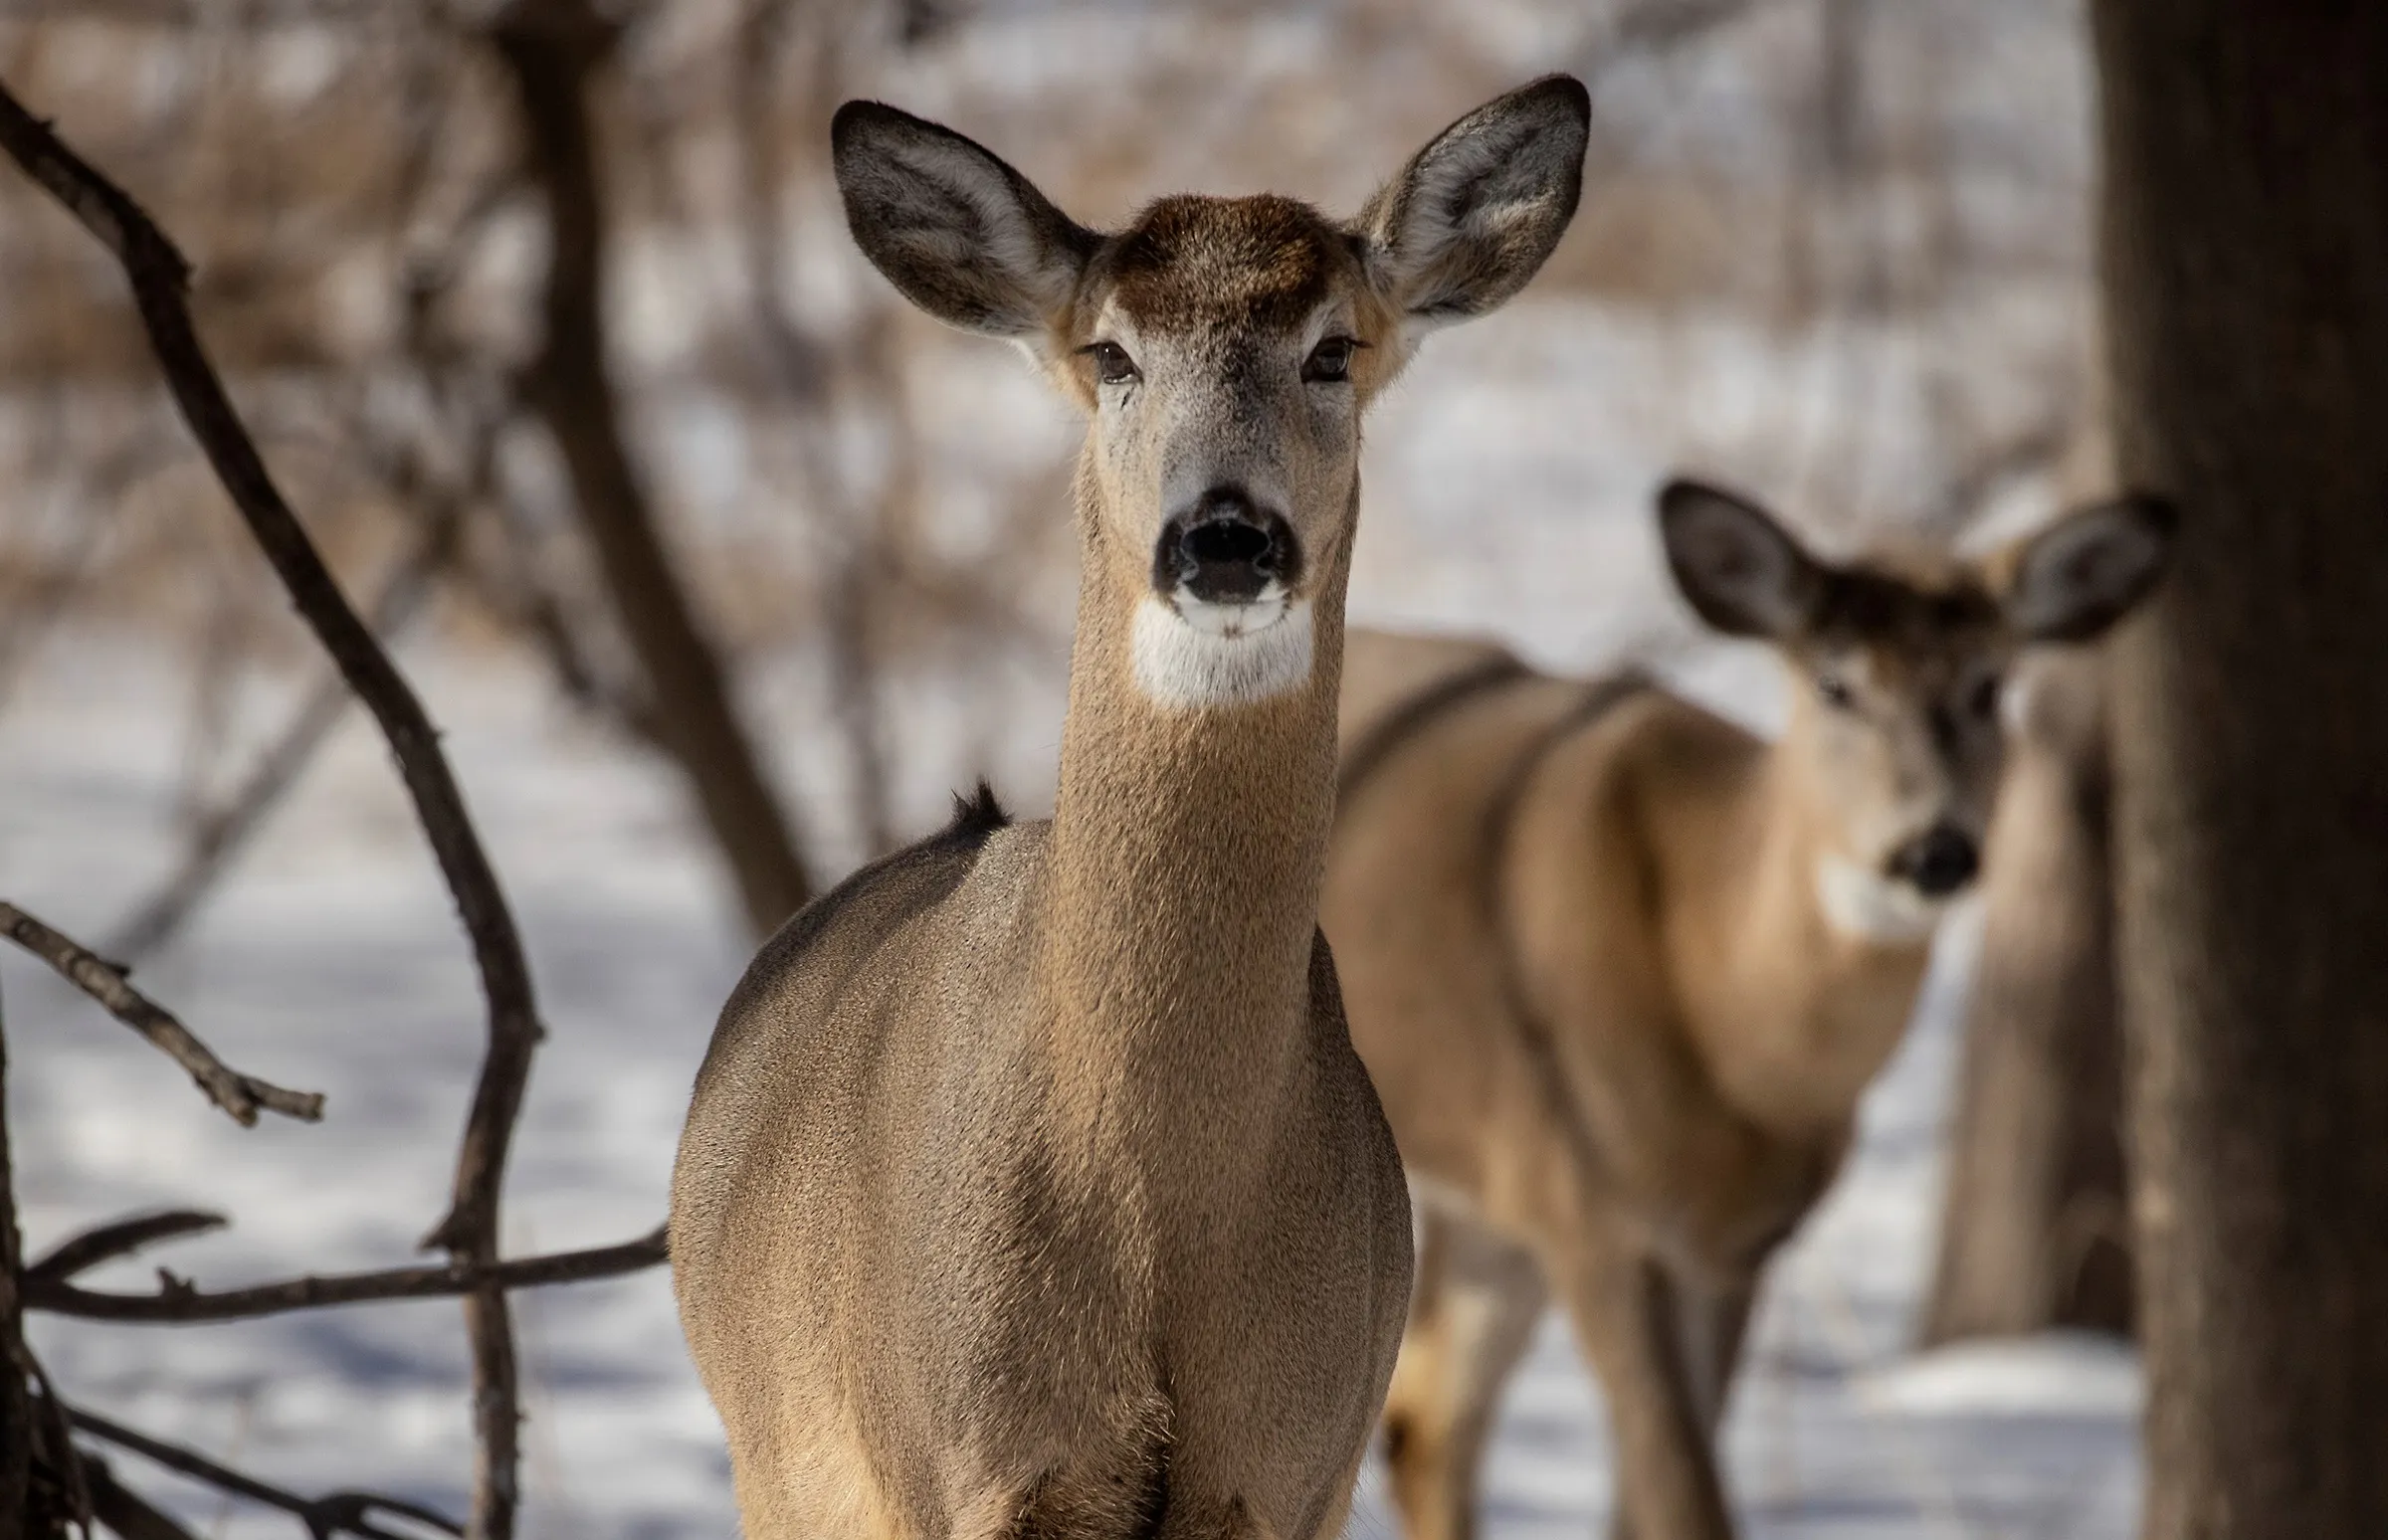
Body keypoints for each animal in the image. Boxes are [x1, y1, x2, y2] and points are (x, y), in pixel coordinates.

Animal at [670, 78, 1592, 1540]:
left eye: (1334, 350)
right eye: (1111, 353)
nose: (1225, 536)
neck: (1160, 1217)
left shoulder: (1298, 1468)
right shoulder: (965, 1462)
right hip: (787, 1462)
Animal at [1320, 478, 2175, 1540]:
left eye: (1989, 686)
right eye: (1836, 685)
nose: (1934, 850)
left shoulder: (1733, 1246)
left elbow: (1649, 1503)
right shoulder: (1595, 1207)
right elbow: (1684, 1499)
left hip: (1489, 1198)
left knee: (1428, 1417)